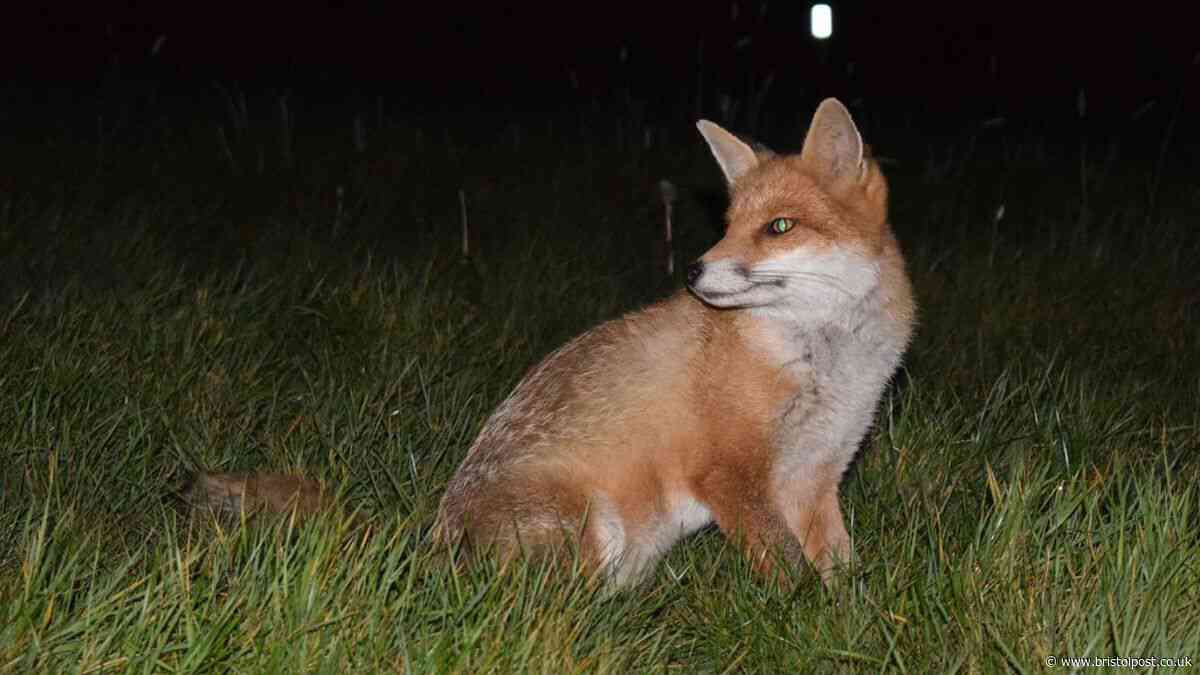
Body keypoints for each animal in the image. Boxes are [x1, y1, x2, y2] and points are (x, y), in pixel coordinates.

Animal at [189, 98, 915, 590]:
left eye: (779, 227)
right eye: (729, 224)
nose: (692, 272)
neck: (824, 360)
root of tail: (433, 541)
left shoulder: (814, 476)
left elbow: (841, 571)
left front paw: (850, 615)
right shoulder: (730, 472)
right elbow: (791, 576)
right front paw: (806, 613)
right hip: (593, 527)